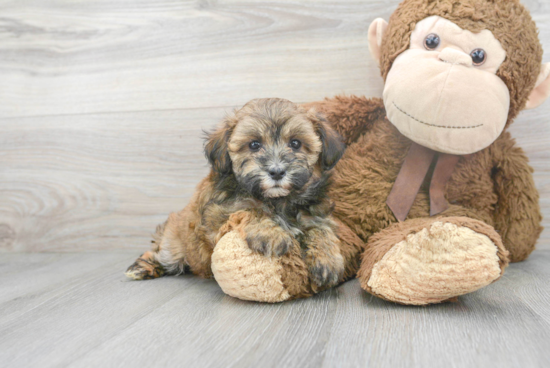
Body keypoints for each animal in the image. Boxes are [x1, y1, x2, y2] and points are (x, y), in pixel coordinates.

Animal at [127, 99, 348, 288]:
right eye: (254, 144)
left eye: (295, 143)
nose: (277, 171)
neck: (279, 201)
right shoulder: (217, 214)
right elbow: (249, 209)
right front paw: (271, 233)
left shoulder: (316, 214)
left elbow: (321, 229)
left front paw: (328, 260)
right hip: (174, 246)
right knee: (160, 254)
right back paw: (142, 267)